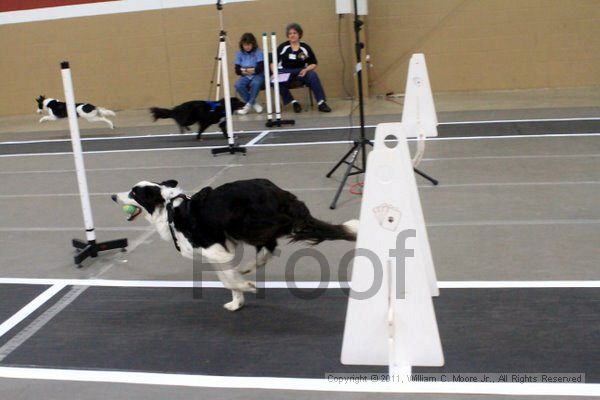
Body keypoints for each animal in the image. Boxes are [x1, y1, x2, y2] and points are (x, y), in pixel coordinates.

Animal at [110, 179, 358, 312]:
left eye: (133, 193)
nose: (113, 196)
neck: (170, 209)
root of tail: (285, 197)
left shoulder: (216, 251)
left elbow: (229, 279)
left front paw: (247, 287)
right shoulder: (218, 255)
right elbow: (226, 279)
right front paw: (237, 301)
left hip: (243, 222)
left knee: (269, 245)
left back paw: (248, 268)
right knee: (268, 247)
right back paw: (248, 267)